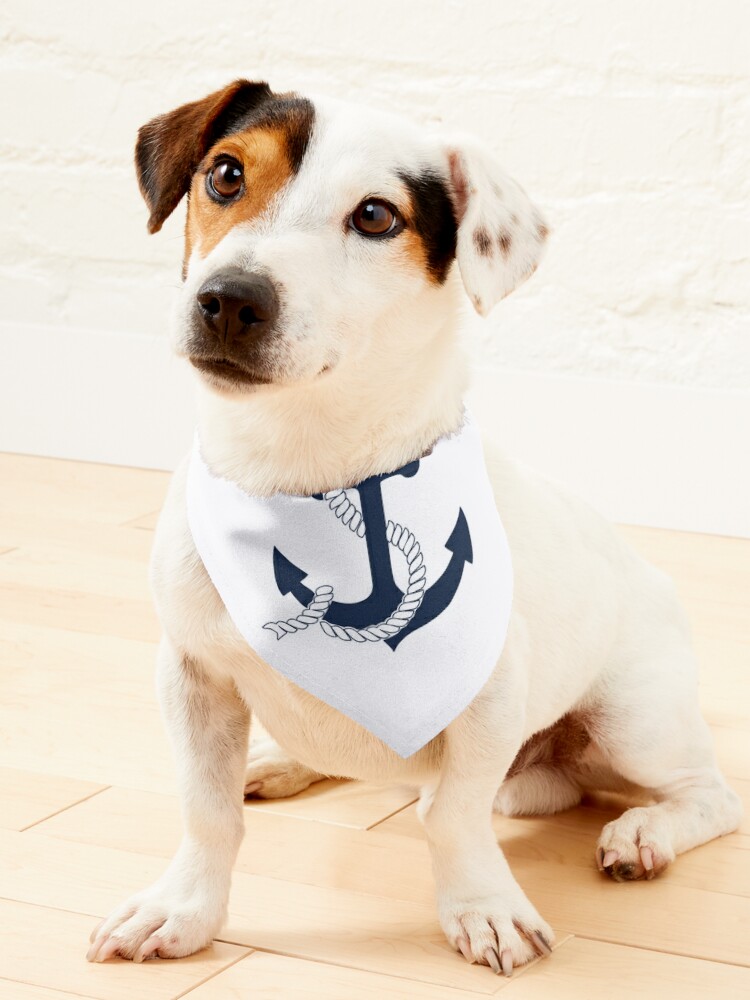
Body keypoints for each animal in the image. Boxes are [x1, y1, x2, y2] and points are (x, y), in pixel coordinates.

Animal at [85, 82, 744, 972]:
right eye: (225, 174)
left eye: (375, 216)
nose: (229, 299)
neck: (302, 468)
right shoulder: (192, 677)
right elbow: (207, 810)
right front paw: (183, 909)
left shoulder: (488, 700)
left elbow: (452, 816)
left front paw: (483, 908)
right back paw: (282, 761)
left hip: (635, 719)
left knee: (708, 796)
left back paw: (644, 833)